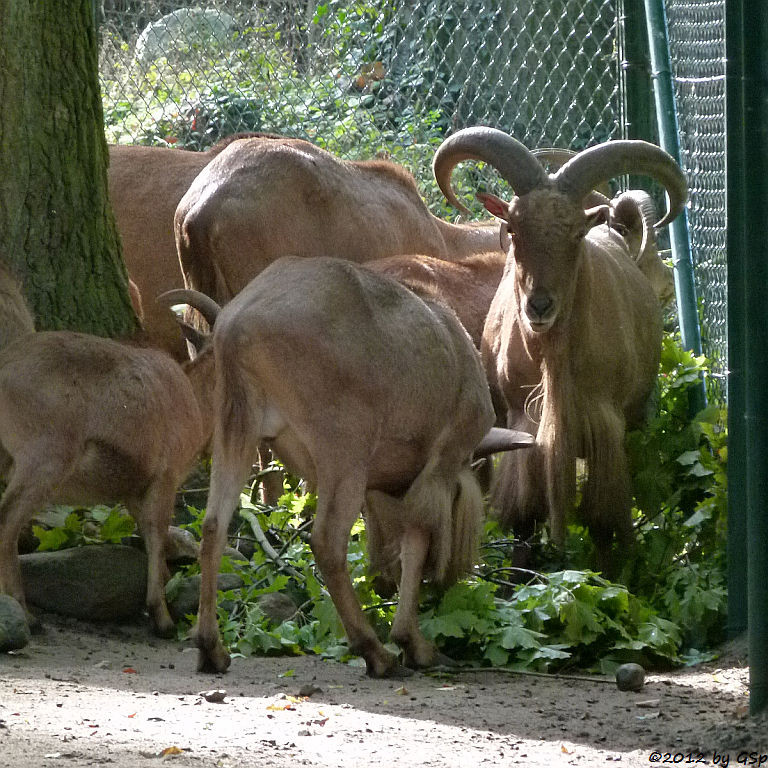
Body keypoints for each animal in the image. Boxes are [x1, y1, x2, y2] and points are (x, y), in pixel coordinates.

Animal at [178, 258, 532, 680]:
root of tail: (237, 325)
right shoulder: (440, 465)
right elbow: (416, 543)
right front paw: (415, 644)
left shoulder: (379, 489)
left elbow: (394, 549)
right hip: (343, 451)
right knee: (327, 543)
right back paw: (375, 653)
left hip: (237, 427)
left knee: (213, 526)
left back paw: (211, 648)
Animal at [428, 127, 688, 568]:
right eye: (515, 230)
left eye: (575, 234)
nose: (539, 306)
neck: (554, 359)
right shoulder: (524, 426)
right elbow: (524, 513)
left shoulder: (605, 427)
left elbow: (603, 518)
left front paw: (609, 574)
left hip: (637, 417)